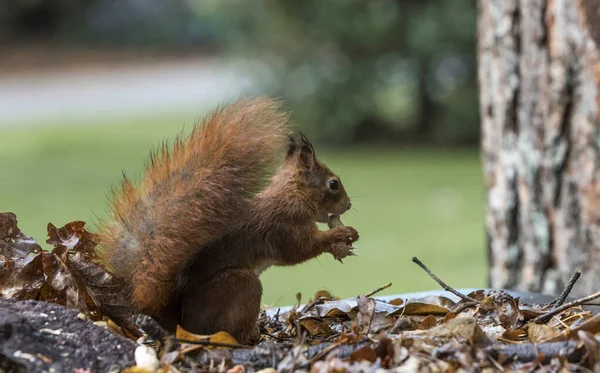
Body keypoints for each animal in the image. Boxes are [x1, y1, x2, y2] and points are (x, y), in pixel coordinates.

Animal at [94, 96, 356, 342]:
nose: (349, 204)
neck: (293, 193)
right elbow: (300, 250)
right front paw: (342, 234)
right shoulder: (284, 225)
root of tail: (182, 325)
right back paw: (250, 336)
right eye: (333, 184)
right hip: (240, 285)